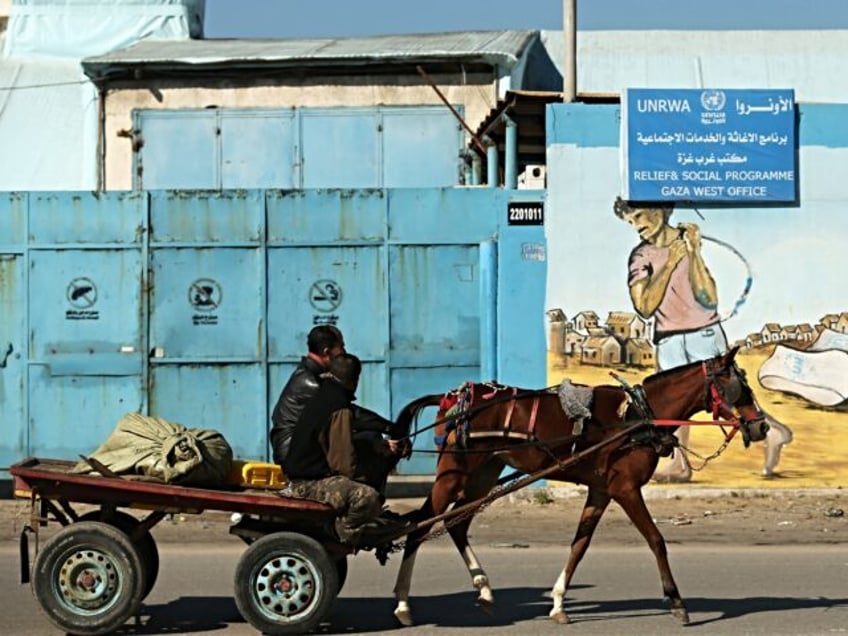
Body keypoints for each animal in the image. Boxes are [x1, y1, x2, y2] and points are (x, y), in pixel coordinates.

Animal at [390, 346, 768, 624]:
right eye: (740, 387)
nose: (761, 426)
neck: (639, 415)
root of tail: (450, 397)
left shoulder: (601, 490)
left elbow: (579, 545)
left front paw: (558, 604)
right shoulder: (625, 489)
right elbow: (656, 540)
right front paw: (676, 601)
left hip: (485, 472)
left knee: (457, 525)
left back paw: (483, 589)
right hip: (454, 471)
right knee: (419, 525)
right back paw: (404, 604)